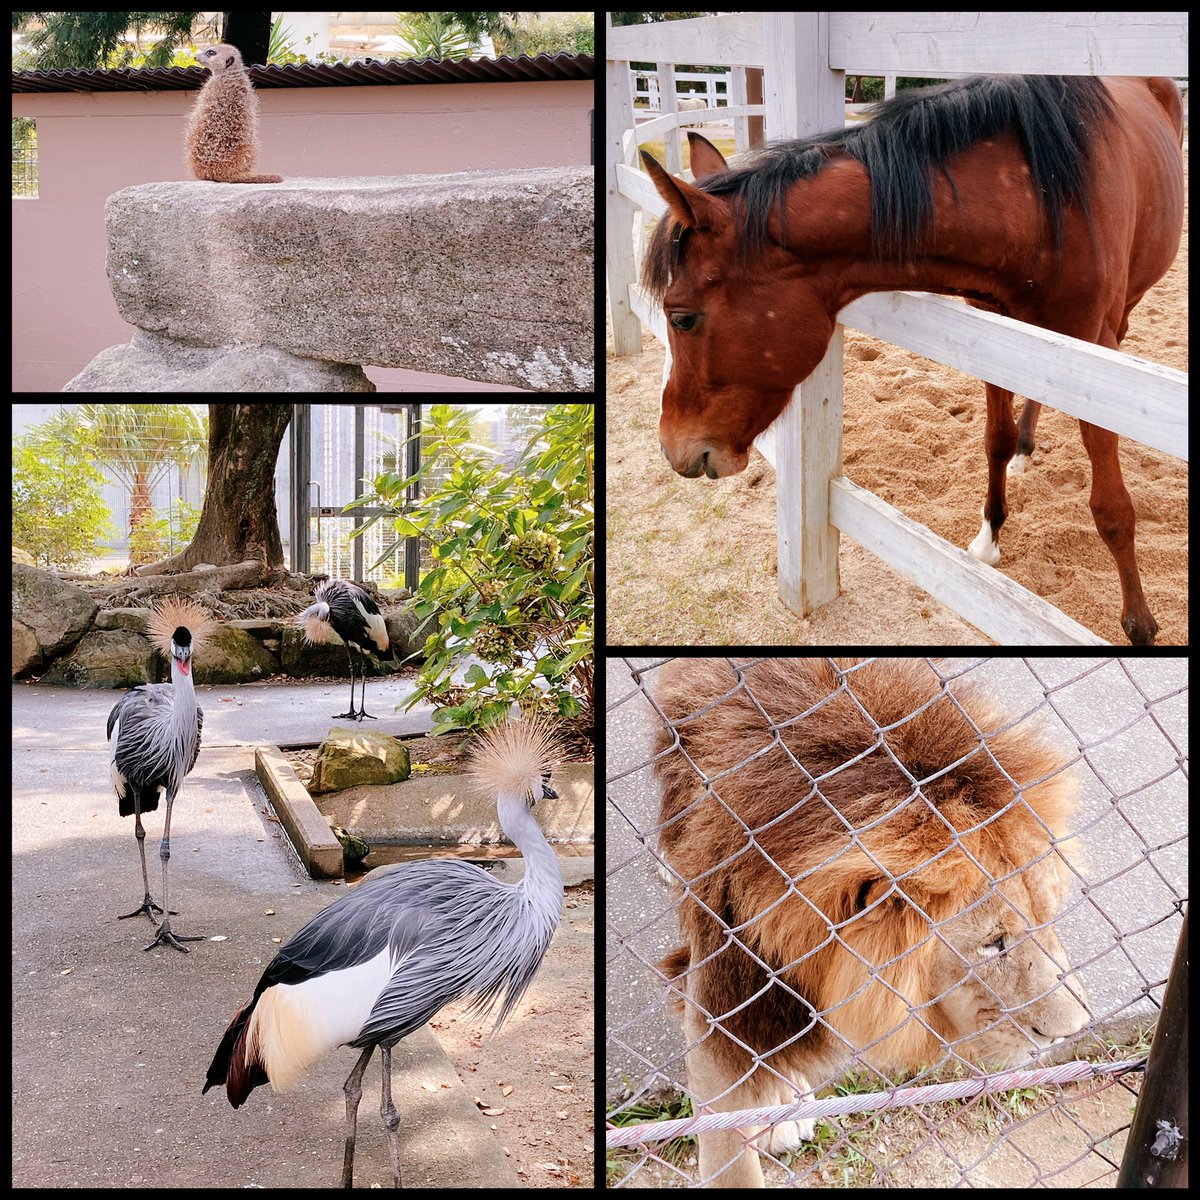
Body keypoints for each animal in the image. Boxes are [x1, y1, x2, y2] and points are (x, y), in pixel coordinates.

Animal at [643, 75, 1185, 643]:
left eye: (682, 318)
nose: (673, 449)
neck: (1041, 202)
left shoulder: (1095, 351)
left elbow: (1111, 505)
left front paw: (1139, 623)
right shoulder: (992, 324)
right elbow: (994, 439)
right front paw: (990, 535)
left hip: (1120, 317)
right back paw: (1025, 448)